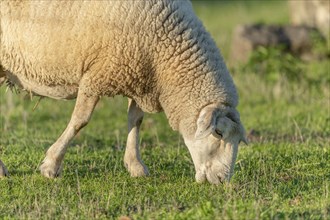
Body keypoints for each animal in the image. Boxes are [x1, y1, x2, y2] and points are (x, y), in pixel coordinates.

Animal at [0, 0, 246, 184]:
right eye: (218, 133)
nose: (223, 180)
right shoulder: (97, 74)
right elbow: (80, 121)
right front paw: (51, 165)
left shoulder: (140, 77)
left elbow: (135, 120)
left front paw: (135, 165)